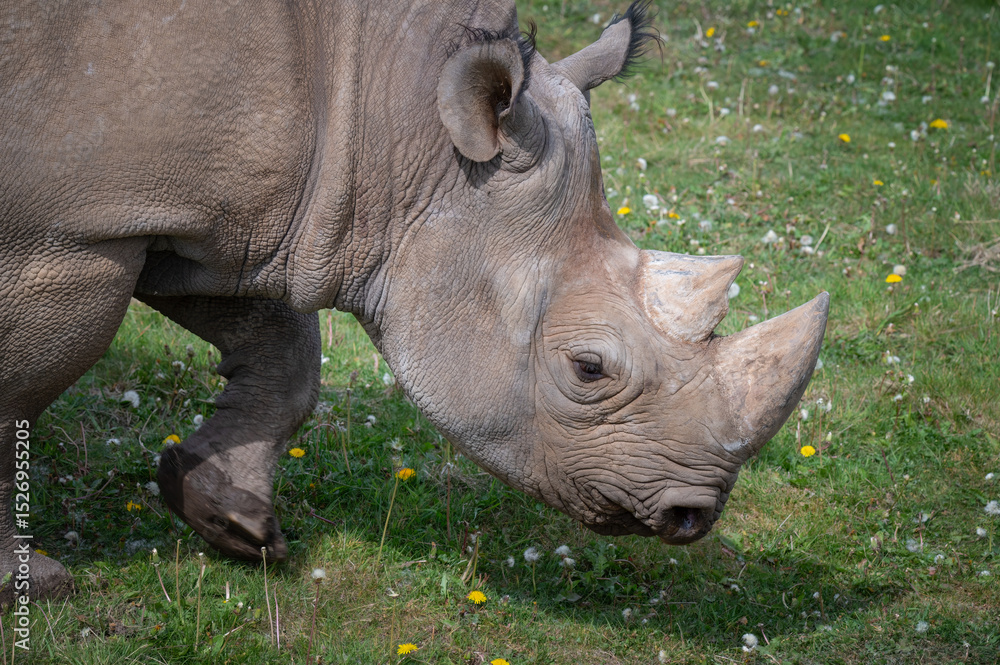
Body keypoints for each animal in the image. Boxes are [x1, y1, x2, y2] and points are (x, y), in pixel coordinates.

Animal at [0, 0, 828, 600]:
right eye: (589, 368)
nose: (696, 515)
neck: (398, 113)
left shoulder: (228, 221)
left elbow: (287, 353)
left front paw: (231, 520)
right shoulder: (76, 232)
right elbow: (24, 386)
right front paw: (33, 583)